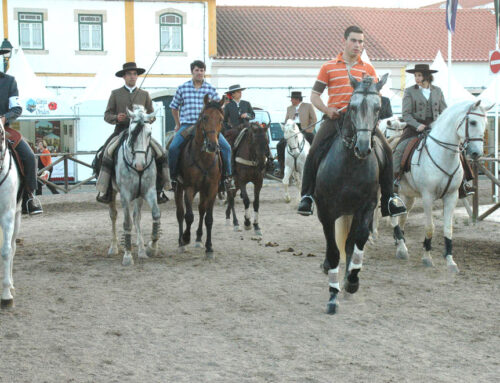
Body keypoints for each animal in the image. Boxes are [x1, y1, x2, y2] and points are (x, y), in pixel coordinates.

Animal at [107, 105, 158, 268]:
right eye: (132, 133)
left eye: (149, 133)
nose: (140, 165)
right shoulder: (125, 195)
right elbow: (127, 223)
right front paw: (128, 255)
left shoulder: (149, 191)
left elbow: (155, 215)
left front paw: (151, 247)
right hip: (112, 193)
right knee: (114, 215)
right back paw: (114, 247)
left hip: (139, 196)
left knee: (137, 217)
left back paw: (141, 248)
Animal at [175, 95, 224, 258]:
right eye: (204, 117)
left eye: (221, 119)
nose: (212, 146)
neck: (203, 158)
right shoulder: (189, 187)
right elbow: (189, 216)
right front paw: (185, 237)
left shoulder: (213, 189)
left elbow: (208, 218)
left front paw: (209, 247)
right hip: (179, 187)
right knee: (180, 213)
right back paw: (181, 243)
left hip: (203, 190)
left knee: (202, 209)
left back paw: (198, 239)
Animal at [314, 73, 388, 316]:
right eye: (353, 107)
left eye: (378, 107)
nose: (363, 148)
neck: (350, 165)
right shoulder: (326, 212)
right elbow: (333, 251)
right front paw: (332, 296)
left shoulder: (366, 207)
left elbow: (359, 239)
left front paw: (352, 281)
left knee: (349, 242)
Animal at [390, 99, 492, 272]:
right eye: (472, 122)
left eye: (485, 124)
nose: (477, 154)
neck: (443, 155)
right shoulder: (427, 197)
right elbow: (430, 227)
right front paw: (427, 257)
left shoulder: (452, 196)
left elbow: (448, 228)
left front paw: (450, 261)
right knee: (392, 218)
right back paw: (399, 247)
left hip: (408, 196)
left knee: (402, 217)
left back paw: (400, 244)